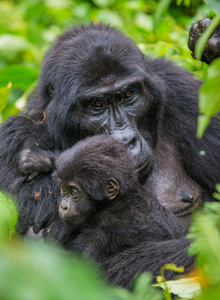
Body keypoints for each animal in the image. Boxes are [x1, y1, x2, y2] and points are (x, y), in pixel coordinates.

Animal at [0, 23, 219, 236]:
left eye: (128, 94)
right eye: (97, 103)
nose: (126, 141)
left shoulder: (180, 88)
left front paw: (213, 41)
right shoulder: (14, 139)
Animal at [19, 135, 187, 262]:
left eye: (74, 193)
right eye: (63, 189)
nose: (63, 206)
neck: (113, 202)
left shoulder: (107, 227)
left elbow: (83, 267)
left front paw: (34, 244)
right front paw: (42, 160)